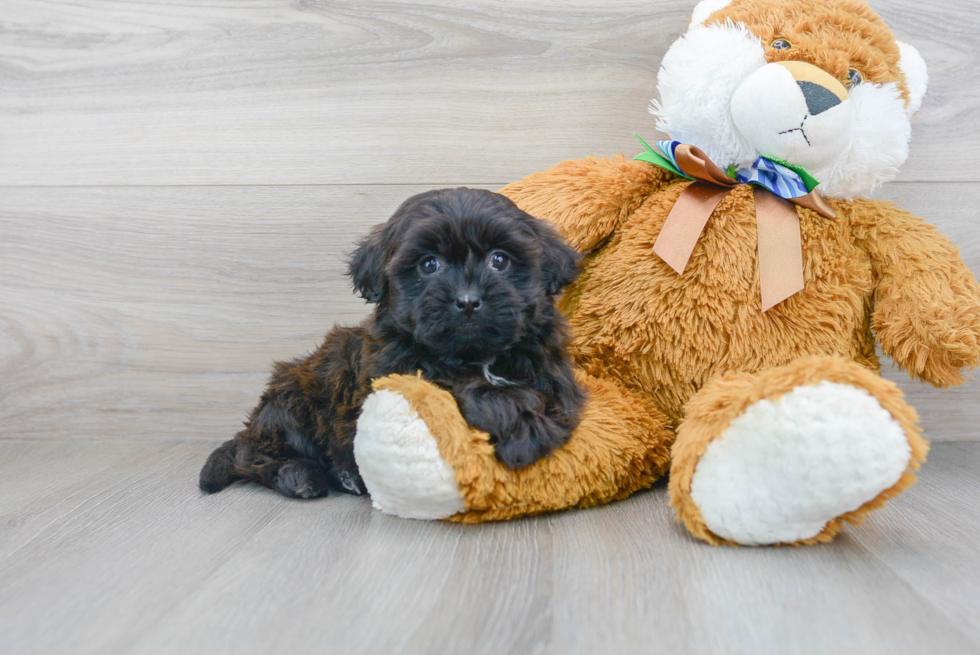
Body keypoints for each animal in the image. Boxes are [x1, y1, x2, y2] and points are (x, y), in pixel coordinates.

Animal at [195, 187, 584, 500]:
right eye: (429, 264)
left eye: (499, 259)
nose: (468, 300)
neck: (476, 355)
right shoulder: (395, 370)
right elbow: (455, 382)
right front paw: (521, 425)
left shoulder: (553, 370)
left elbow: (549, 396)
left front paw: (528, 422)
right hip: (294, 400)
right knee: (252, 455)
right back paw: (301, 475)